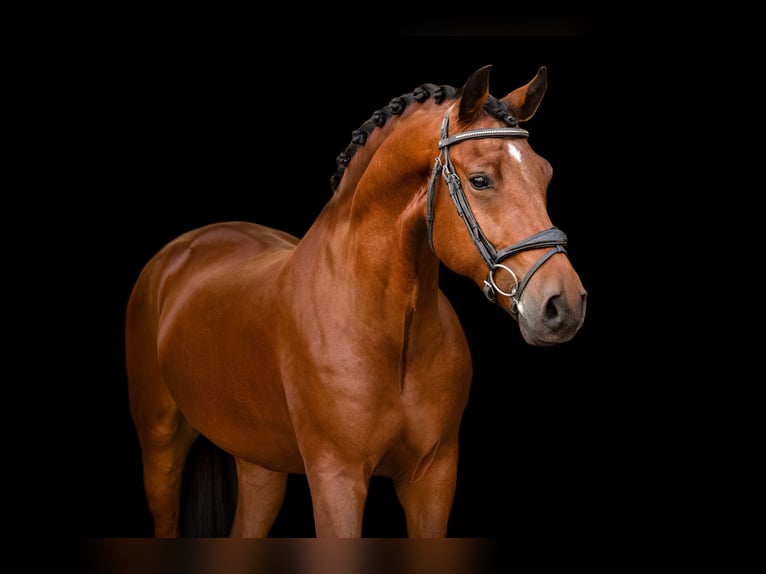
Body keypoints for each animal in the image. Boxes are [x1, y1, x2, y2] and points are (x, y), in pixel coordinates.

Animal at [125, 64, 587, 538]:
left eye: (545, 174)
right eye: (480, 180)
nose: (563, 304)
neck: (390, 330)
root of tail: (183, 249)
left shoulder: (434, 476)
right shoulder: (337, 478)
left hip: (259, 465)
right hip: (161, 447)